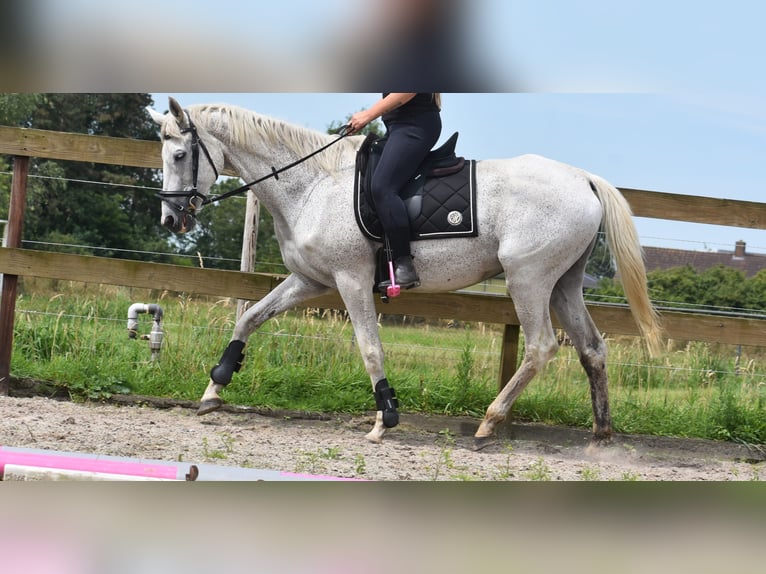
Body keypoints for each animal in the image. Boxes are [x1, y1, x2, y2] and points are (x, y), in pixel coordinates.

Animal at [147, 98, 664, 450]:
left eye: (180, 156)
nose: (170, 220)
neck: (313, 185)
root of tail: (584, 179)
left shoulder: (351, 281)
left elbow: (370, 347)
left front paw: (385, 418)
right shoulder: (311, 280)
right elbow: (249, 317)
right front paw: (214, 388)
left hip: (529, 278)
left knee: (541, 348)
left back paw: (489, 423)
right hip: (563, 283)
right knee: (591, 348)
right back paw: (601, 435)